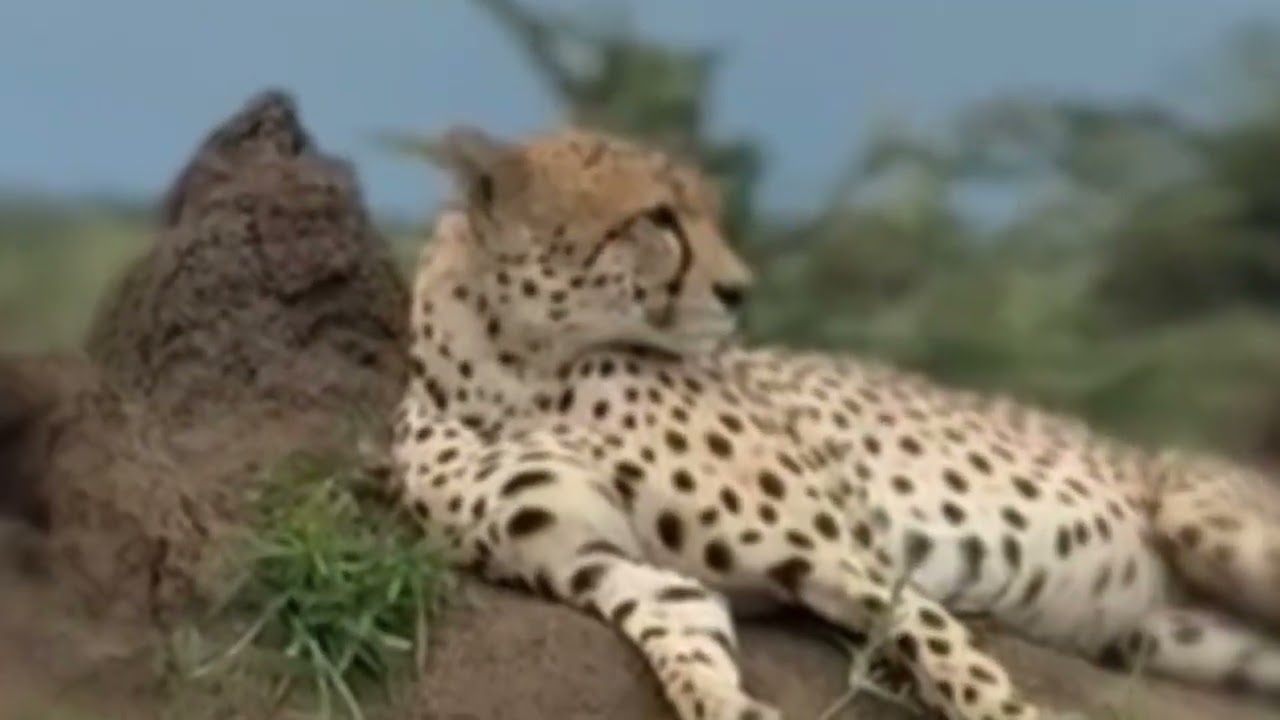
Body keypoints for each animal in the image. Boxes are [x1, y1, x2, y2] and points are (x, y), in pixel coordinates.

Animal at [385, 124, 1280, 720]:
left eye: (704, 212)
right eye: (658, 219)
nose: (740, 291)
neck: (517, 373)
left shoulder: (845, 554)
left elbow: (951, 658)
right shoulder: (602, 562)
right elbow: (682, 637)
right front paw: (731, 705)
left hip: (1204, 519)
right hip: (1178, 639)